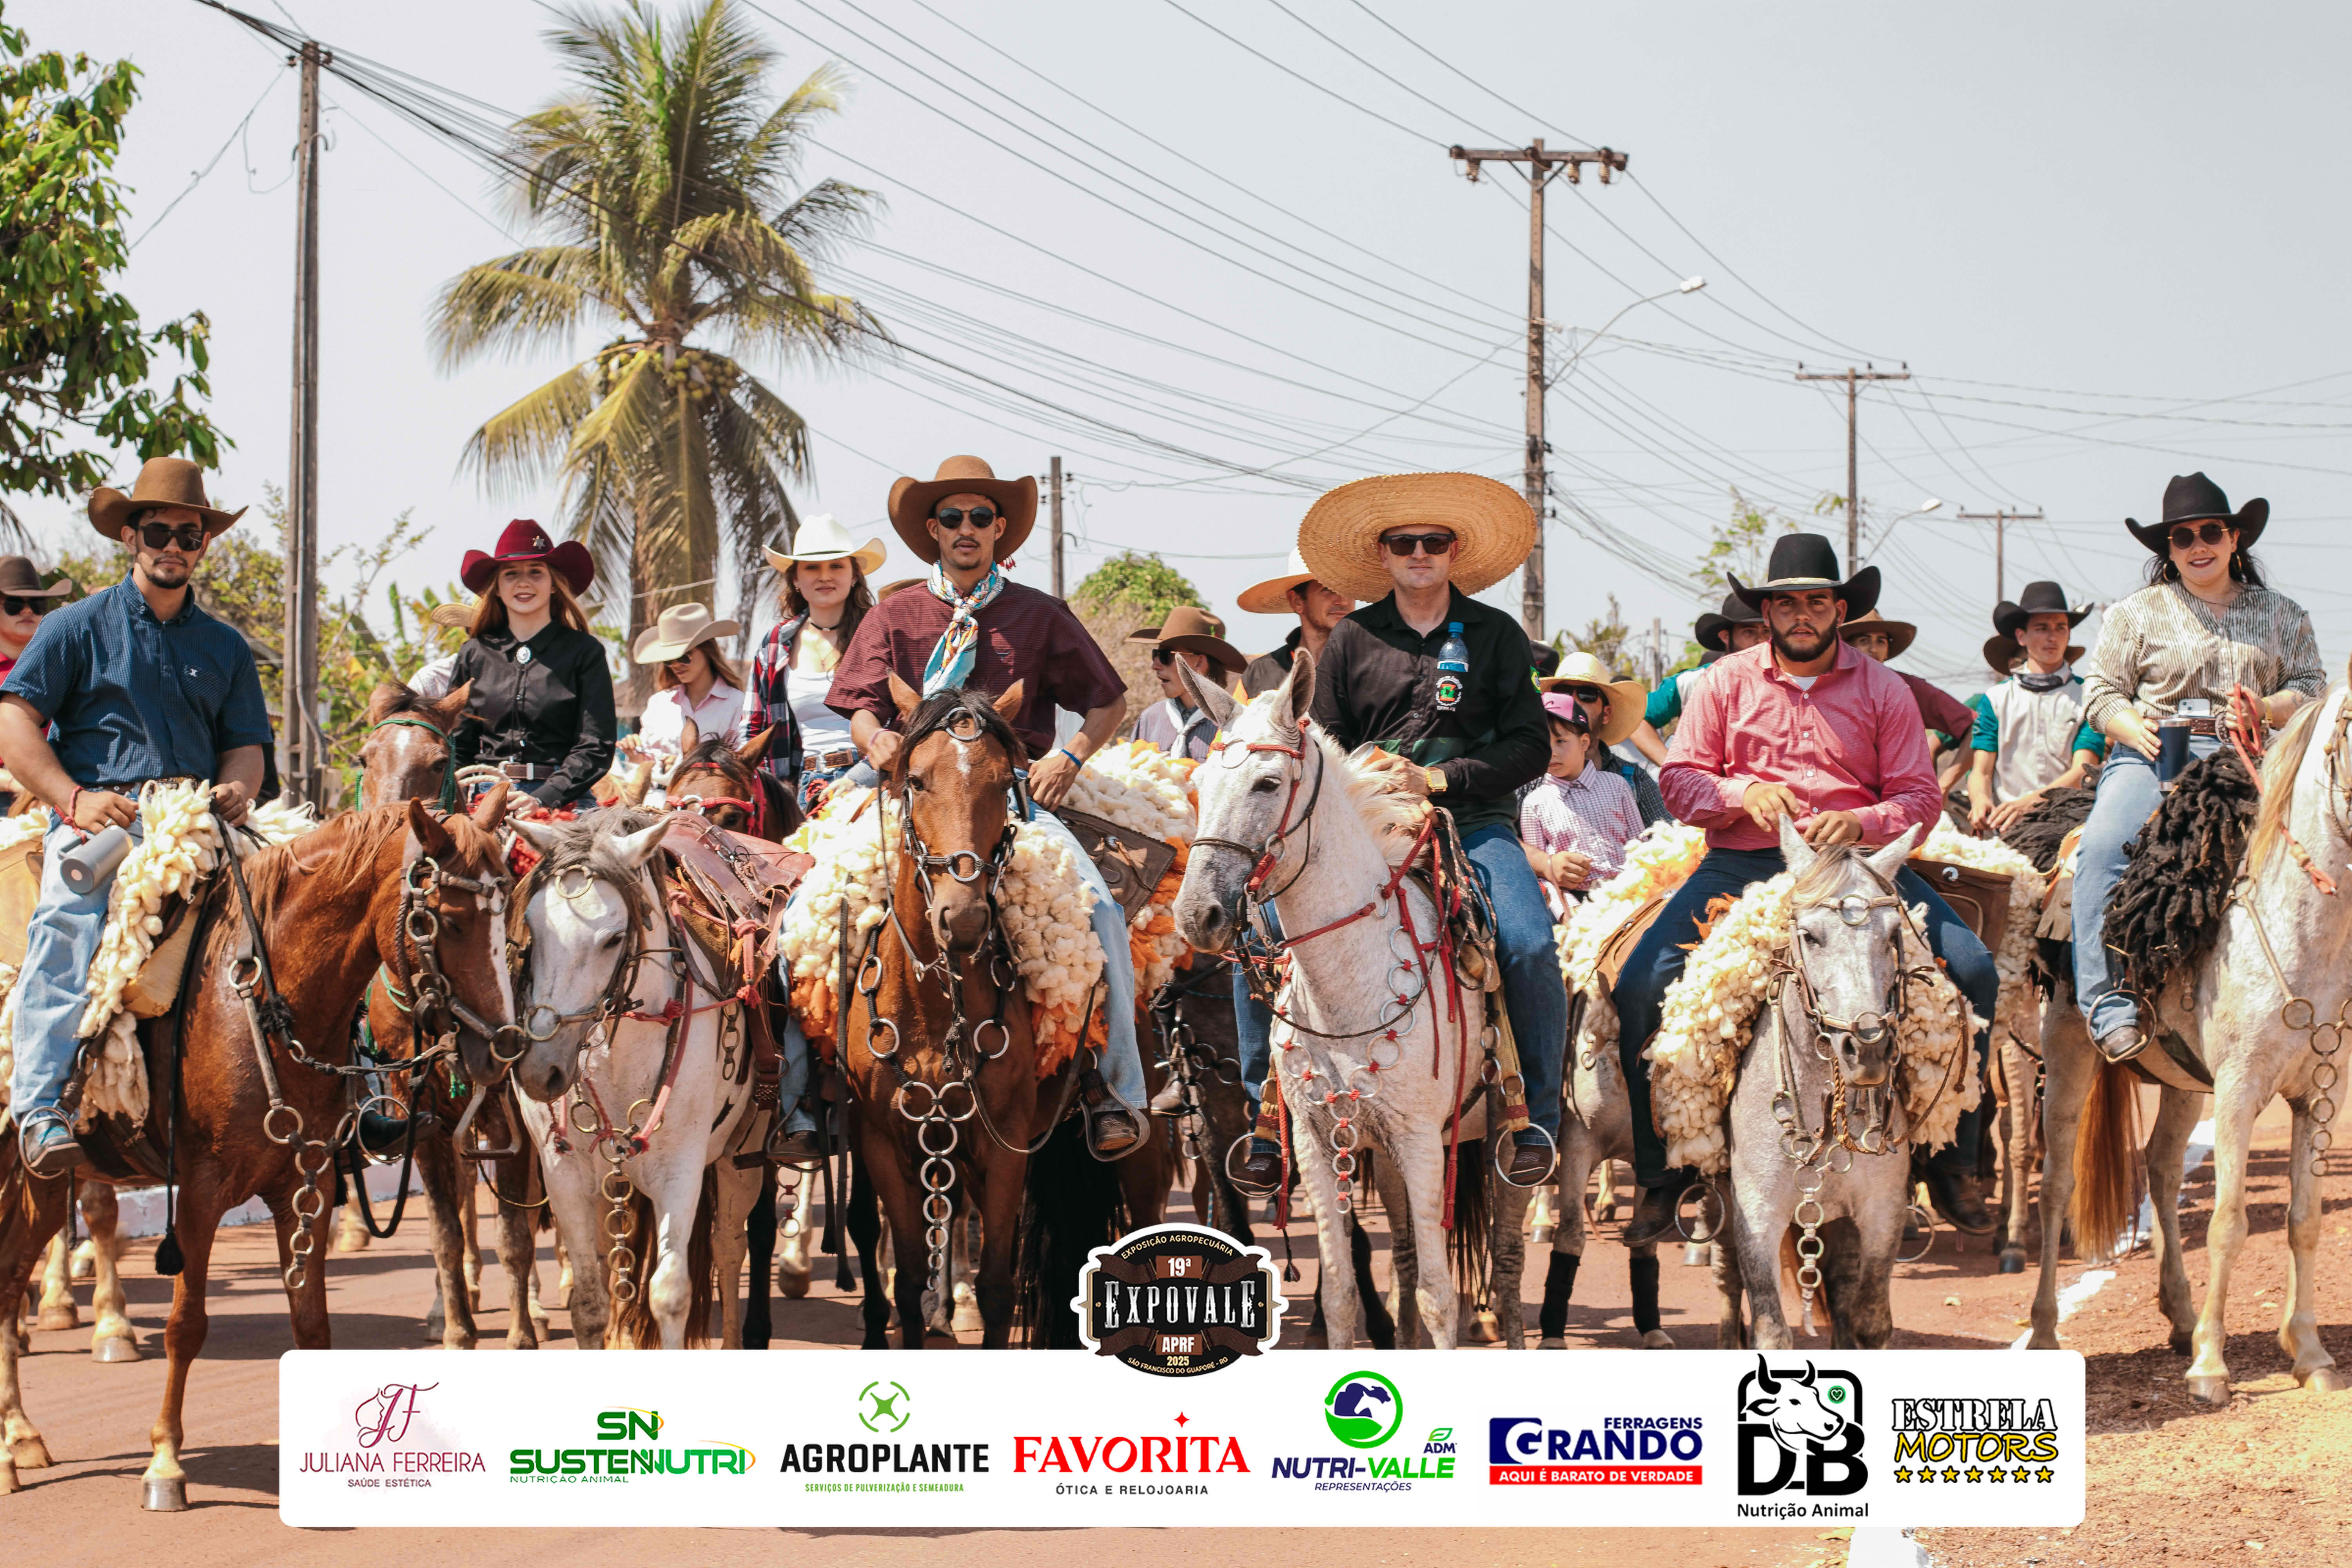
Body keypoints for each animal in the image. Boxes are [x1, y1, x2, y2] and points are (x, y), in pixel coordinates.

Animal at [0, 793, 514, 1508]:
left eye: (506, 910)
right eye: (446, 920)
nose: (505, 1047)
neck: (266, 1005)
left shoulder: (308, 1183)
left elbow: (312, 1323)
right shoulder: (200, 1191)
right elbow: (186, 1325)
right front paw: (165, 1464)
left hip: (44, 1185)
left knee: (8, 1283)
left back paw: (19, 1438)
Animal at [1171, 651, 1478, 1351]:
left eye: (1266, 784)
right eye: (1199, 785)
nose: (1197, 915)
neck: (1347, 987)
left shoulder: (1423, 1141)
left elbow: (1439, 1296)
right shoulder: (1316, 1144)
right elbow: (1341, 1292)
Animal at [1710, 819, 1929, 1351]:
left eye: (1893, 934)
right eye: (1810, 936)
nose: (1867, 1048)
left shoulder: (1882, 1209)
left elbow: (1870, 1320)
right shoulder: (1756, 1211)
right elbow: (1771, 1329)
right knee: (1726, 1278)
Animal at [2030, 689, 2352, 1401]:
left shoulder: (2320, 1095)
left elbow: (2306, 1220)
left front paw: (2310, 1353)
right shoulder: (2238, 1089)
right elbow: (2230, 1221)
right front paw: (2211, 1366)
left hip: (2182, 1083)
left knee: (2161, 1168)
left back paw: (2178, 1315)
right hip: (2068, 1054)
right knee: (2059, 1186)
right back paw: (2043, 1333)